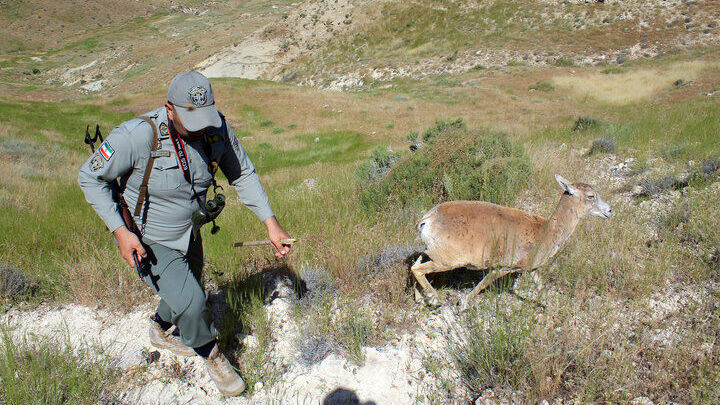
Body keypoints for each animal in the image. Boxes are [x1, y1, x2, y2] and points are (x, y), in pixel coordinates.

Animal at [414, 173, 612, 306]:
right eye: (591, 195)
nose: (609, 210)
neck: (547, 231)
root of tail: (427, 219)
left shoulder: (530, 267)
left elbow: (540, 287)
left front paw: (550, 308)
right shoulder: (505, 266)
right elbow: (483, 283)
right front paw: (463, 303)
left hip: (433, 252)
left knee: (418, 261)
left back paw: (422, 298)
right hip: (447, 259)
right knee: (417, 269)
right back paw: (435, 299)